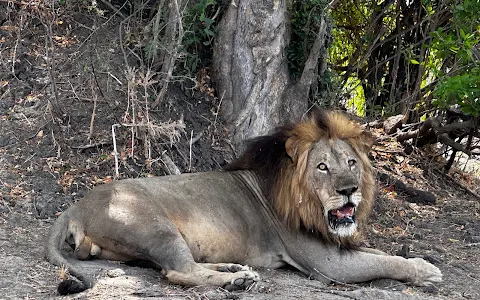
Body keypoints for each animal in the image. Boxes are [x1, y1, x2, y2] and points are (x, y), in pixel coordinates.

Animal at [46, 109, 442, 294]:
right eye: (322, 167)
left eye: (351, 163)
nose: (349, 190)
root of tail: (75, 205)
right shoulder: (326, 264)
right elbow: (384, 261)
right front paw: (426, 271)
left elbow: (379, 252)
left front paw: (421, 261)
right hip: (155, 226)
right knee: (179, 271)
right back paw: (237, 281)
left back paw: (236, 269)